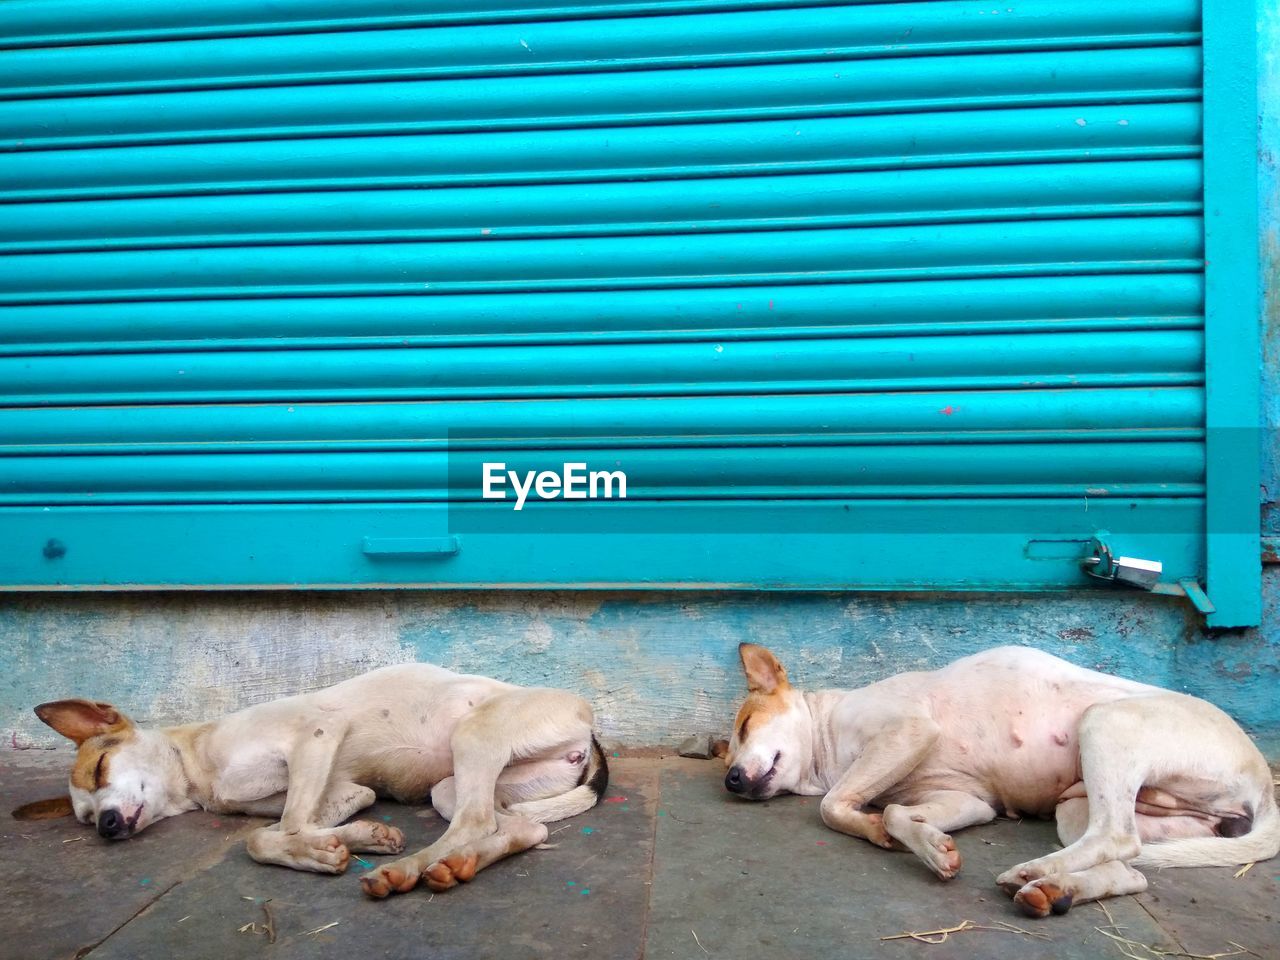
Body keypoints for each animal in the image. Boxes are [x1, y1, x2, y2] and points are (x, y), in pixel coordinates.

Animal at [20, 665, 606, 901]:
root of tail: (587, 724)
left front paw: (320, 852)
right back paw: (452, 865)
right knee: (520, 829)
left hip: (474, 738)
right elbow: (277, 829)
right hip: (457, 785)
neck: (199, 773)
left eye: (100, 767)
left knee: (475, 822)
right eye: (85, 818)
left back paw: (406, 870)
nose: (107, 826)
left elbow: (277, 831)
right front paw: (358, 837)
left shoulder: (317, 736)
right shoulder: (346, 790)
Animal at [727, 647, 1274, 916]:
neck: (829, 746)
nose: (731, 780)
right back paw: (1056, 890)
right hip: (1081, 809)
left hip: (1104, 724)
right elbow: (896, 811)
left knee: (1117, 837)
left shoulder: (909, 730)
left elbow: (832, 806)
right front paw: (922, 843)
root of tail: (1265, 784)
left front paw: (879, 827)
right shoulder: (968, 801)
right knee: (1129, 864)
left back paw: (1034, 872)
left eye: (746, 726)